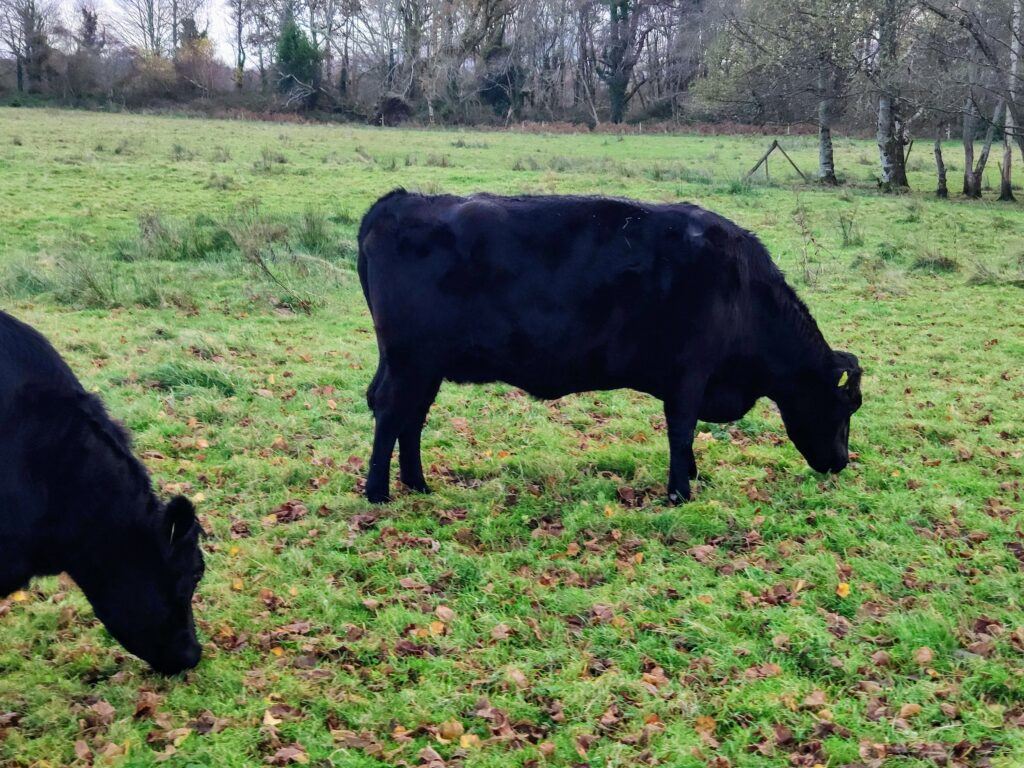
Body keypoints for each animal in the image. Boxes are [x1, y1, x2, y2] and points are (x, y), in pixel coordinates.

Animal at [356, 191, 860, 505]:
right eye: (844, 408)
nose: (840, 463)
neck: (741, 289)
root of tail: (401, 200)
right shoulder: (689, 375)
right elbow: (681, 430)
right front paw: (680, 492)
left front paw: (691, 475)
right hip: (410, 360)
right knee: (391, 410)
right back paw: (378, 493)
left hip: (422, 365)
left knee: (410, 416)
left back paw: (417, 484)